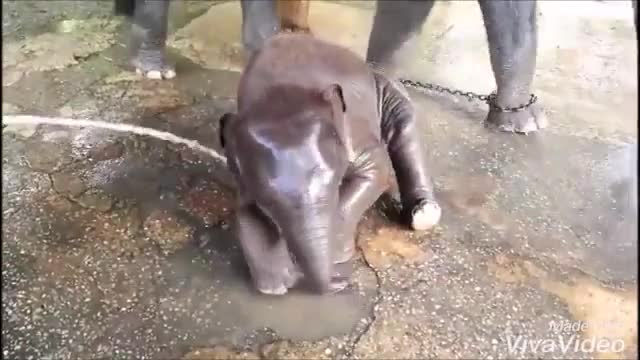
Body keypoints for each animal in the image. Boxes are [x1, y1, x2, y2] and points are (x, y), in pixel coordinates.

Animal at [219, 32, 440, 296]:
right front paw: (274, 287)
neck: (282, 93)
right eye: (268, 201)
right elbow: (246, 210)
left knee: (404, 127)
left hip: (387, 90)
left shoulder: (355, 132)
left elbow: (377, 172)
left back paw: (424, 214)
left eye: (334, 184)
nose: (335, 283)